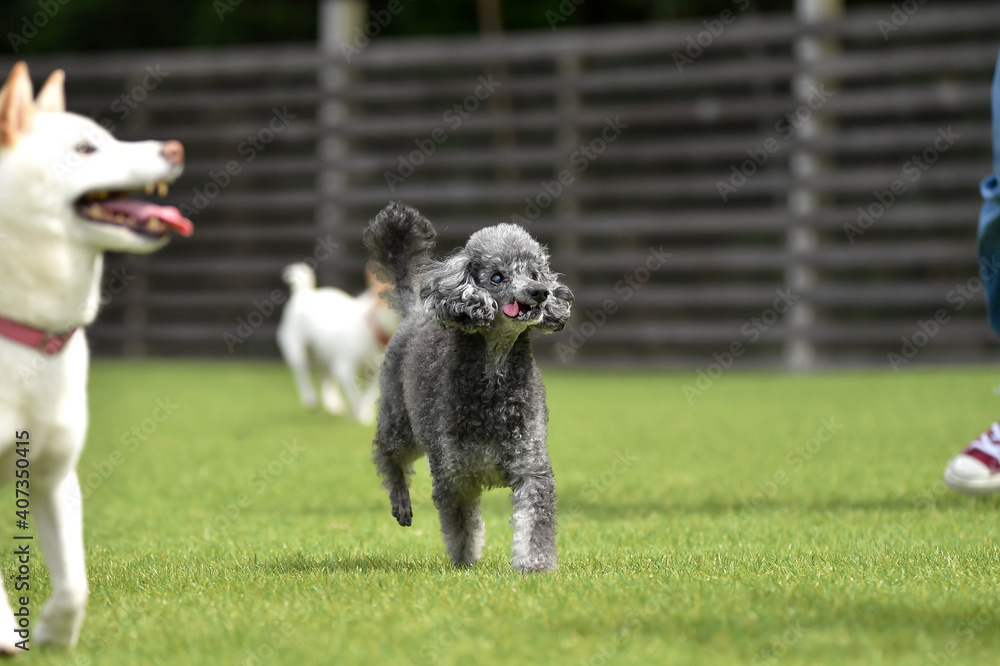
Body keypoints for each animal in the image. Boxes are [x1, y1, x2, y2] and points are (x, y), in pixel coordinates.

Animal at [276, 262, 400, 422]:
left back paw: (332, 404)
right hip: (297, 351)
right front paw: (357, 414)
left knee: (326, 379)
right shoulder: (344, 370)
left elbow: (367, 396)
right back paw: (310, 399)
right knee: (303, 374)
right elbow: (354, 394)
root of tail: (303, 293)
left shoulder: (374, 375)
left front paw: (365, 414)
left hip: (326, 356)